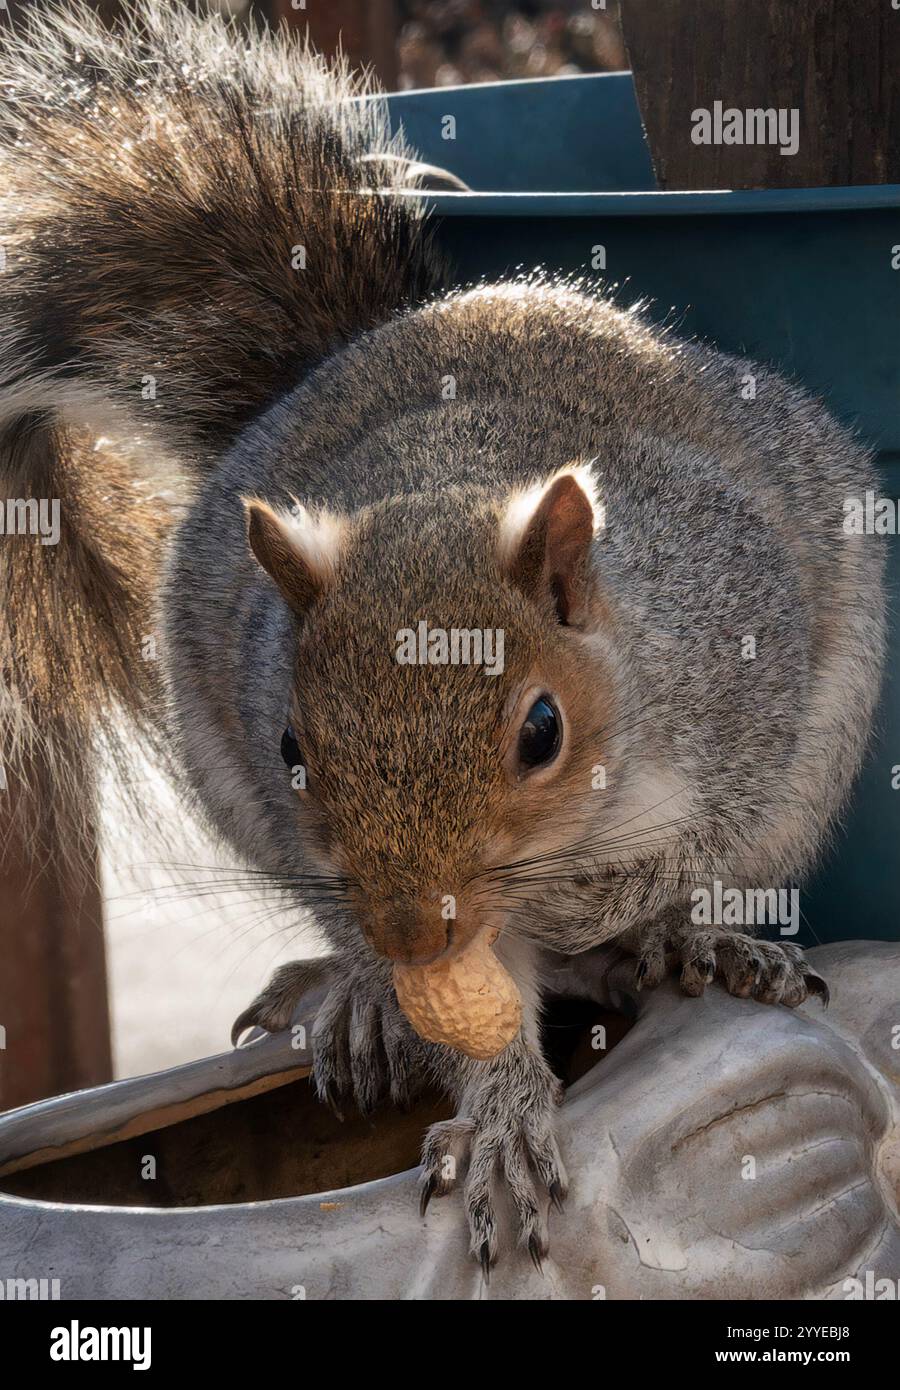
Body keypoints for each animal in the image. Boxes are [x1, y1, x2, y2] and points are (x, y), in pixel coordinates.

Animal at [0, 1, 886, 1271]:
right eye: (292, 751)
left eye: (542, 732)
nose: (418, 935)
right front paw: (500, 1104)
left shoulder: (745, 668)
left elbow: (680, 855)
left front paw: (618, 912)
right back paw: (354, 992)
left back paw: (704, 947)